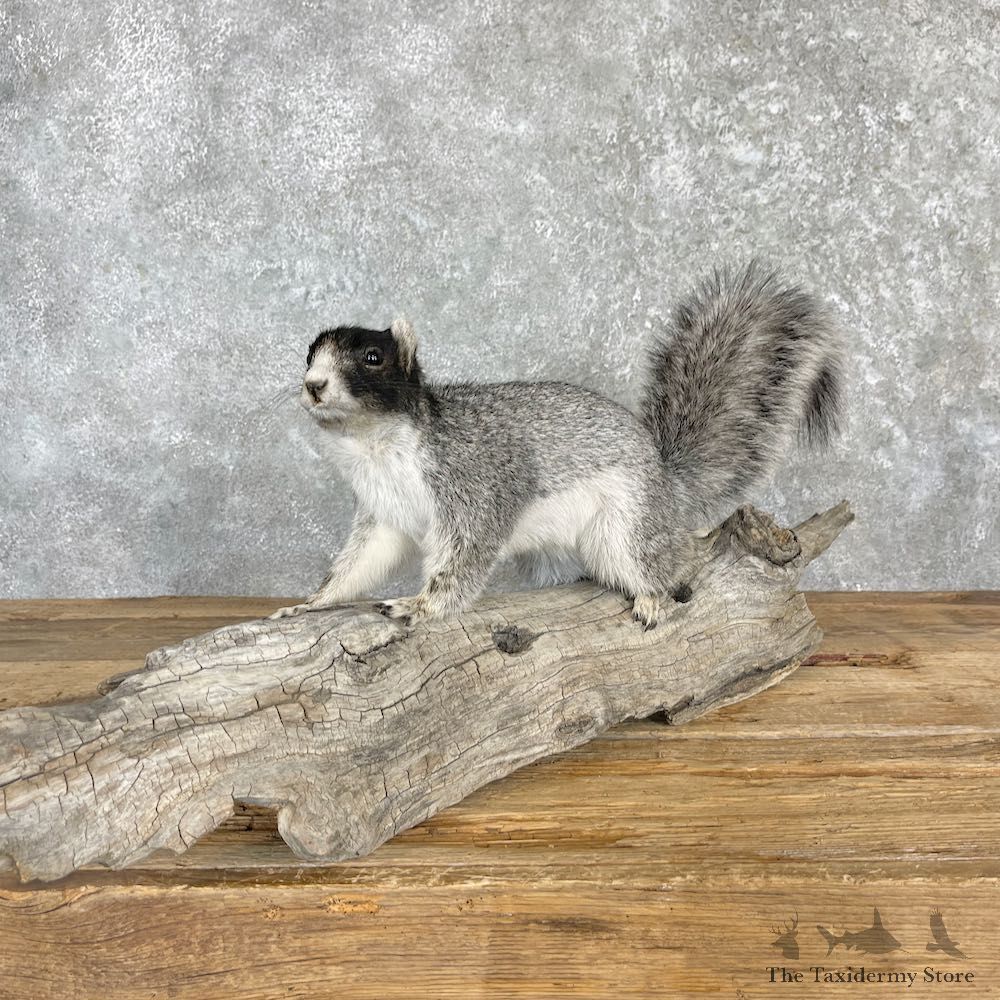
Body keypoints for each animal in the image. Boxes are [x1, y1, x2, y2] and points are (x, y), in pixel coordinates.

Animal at [270, 261, 843, 630]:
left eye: (372, 358)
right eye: (308, 356)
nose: (313, 385)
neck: (374, 445)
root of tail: (666, 480)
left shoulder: (474, 482)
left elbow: (464, 557)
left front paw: (421, 606)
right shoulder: (384, 514)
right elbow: (358, 564)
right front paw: (310, 604)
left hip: (627, 526)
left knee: (669, 563)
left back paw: (654, 598)